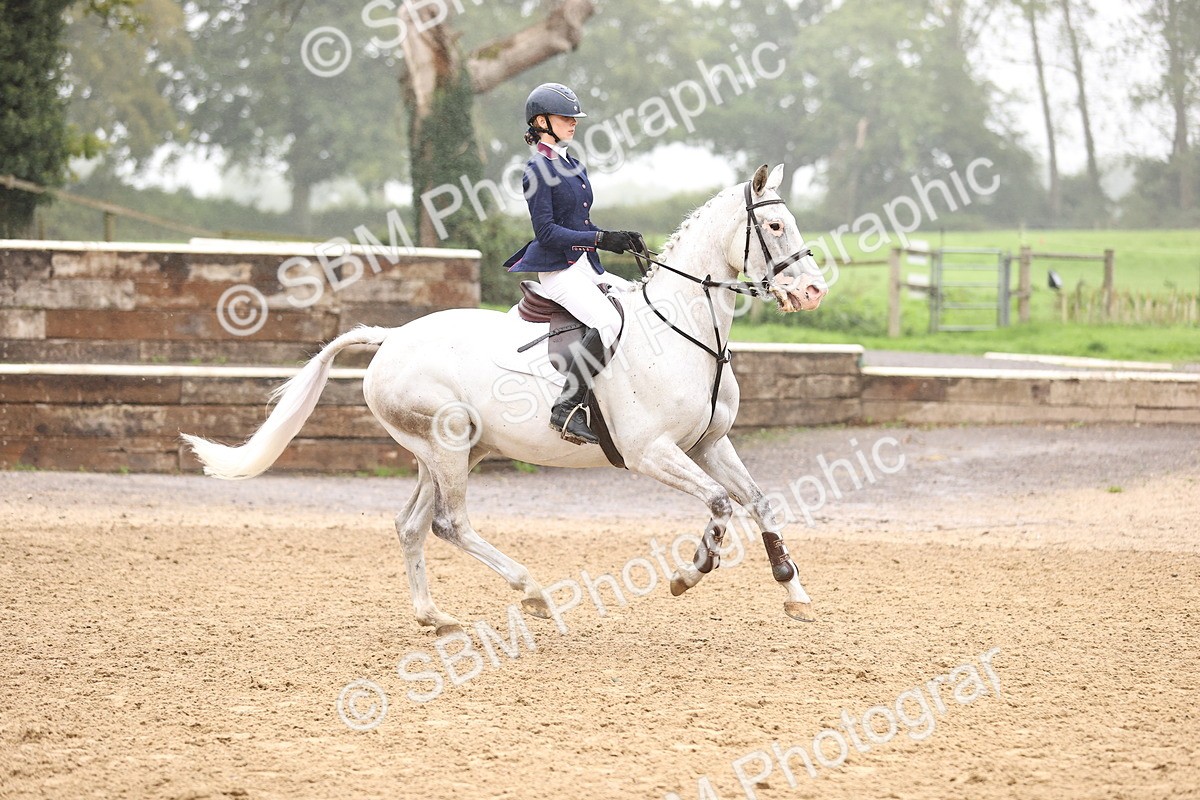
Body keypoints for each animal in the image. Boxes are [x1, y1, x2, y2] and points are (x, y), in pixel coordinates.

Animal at [181, 164, 829, 634]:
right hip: (447, 440)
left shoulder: (710, 443)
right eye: (775, 228)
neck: (682, 328)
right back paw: (535, 593)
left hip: (451, 450)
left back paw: (436, 617)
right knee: (451, 523)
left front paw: (793, 589)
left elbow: (759, 501)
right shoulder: (652, 451)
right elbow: (719, 505)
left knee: (412, 525)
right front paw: (689, 574)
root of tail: (392, 338)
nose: (814, 292)